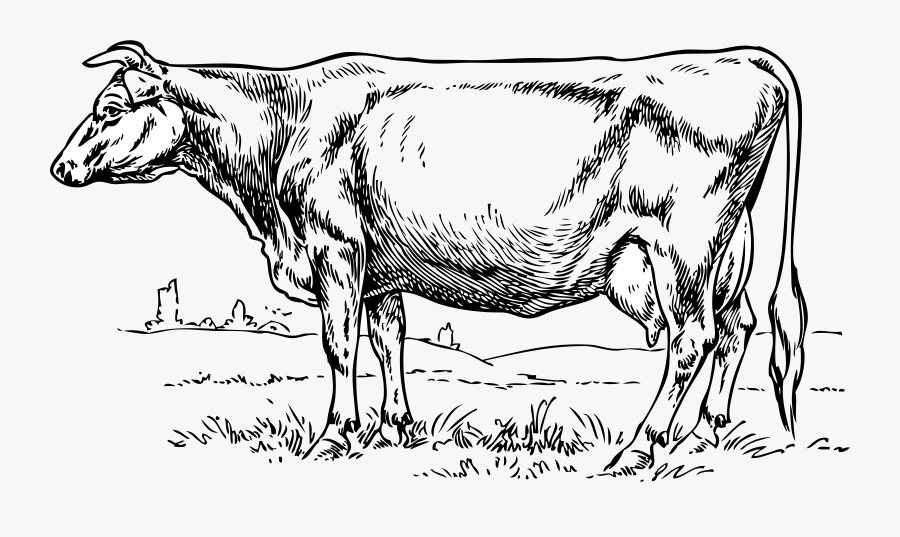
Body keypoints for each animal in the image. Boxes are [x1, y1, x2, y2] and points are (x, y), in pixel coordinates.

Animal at [51, 41, 807, 475]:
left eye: (110, 107)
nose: (60, 167)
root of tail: (745, 56)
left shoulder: (335, 246)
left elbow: (338, 345)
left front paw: (334, 436)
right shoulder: (380, 268)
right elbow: (389, 339)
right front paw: (396, 429)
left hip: (683, 242)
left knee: (693, 336)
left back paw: (642, 447)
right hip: (732, 243)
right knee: (736, 328)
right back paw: (704, 435)